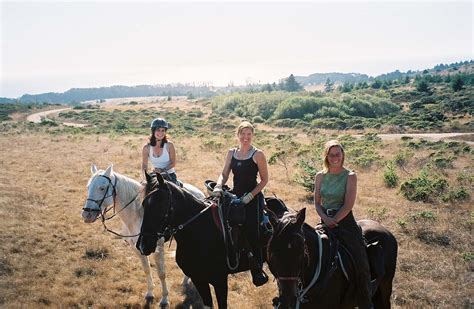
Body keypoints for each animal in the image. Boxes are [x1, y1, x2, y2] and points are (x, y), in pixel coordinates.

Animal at [81, 164, 204, 306]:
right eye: (88, 187)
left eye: (102, 188)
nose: (87, 214)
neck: (137, 214)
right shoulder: (136, 247)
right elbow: (147, 269)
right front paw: (150, 293)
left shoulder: (158, 248)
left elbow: (161, 273)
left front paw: (164, 299)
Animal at [137, 172, 286, 306]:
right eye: (143, 204)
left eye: (160, 205)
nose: (142, 245)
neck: (199, 232)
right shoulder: (198, 280)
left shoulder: (219, 280)